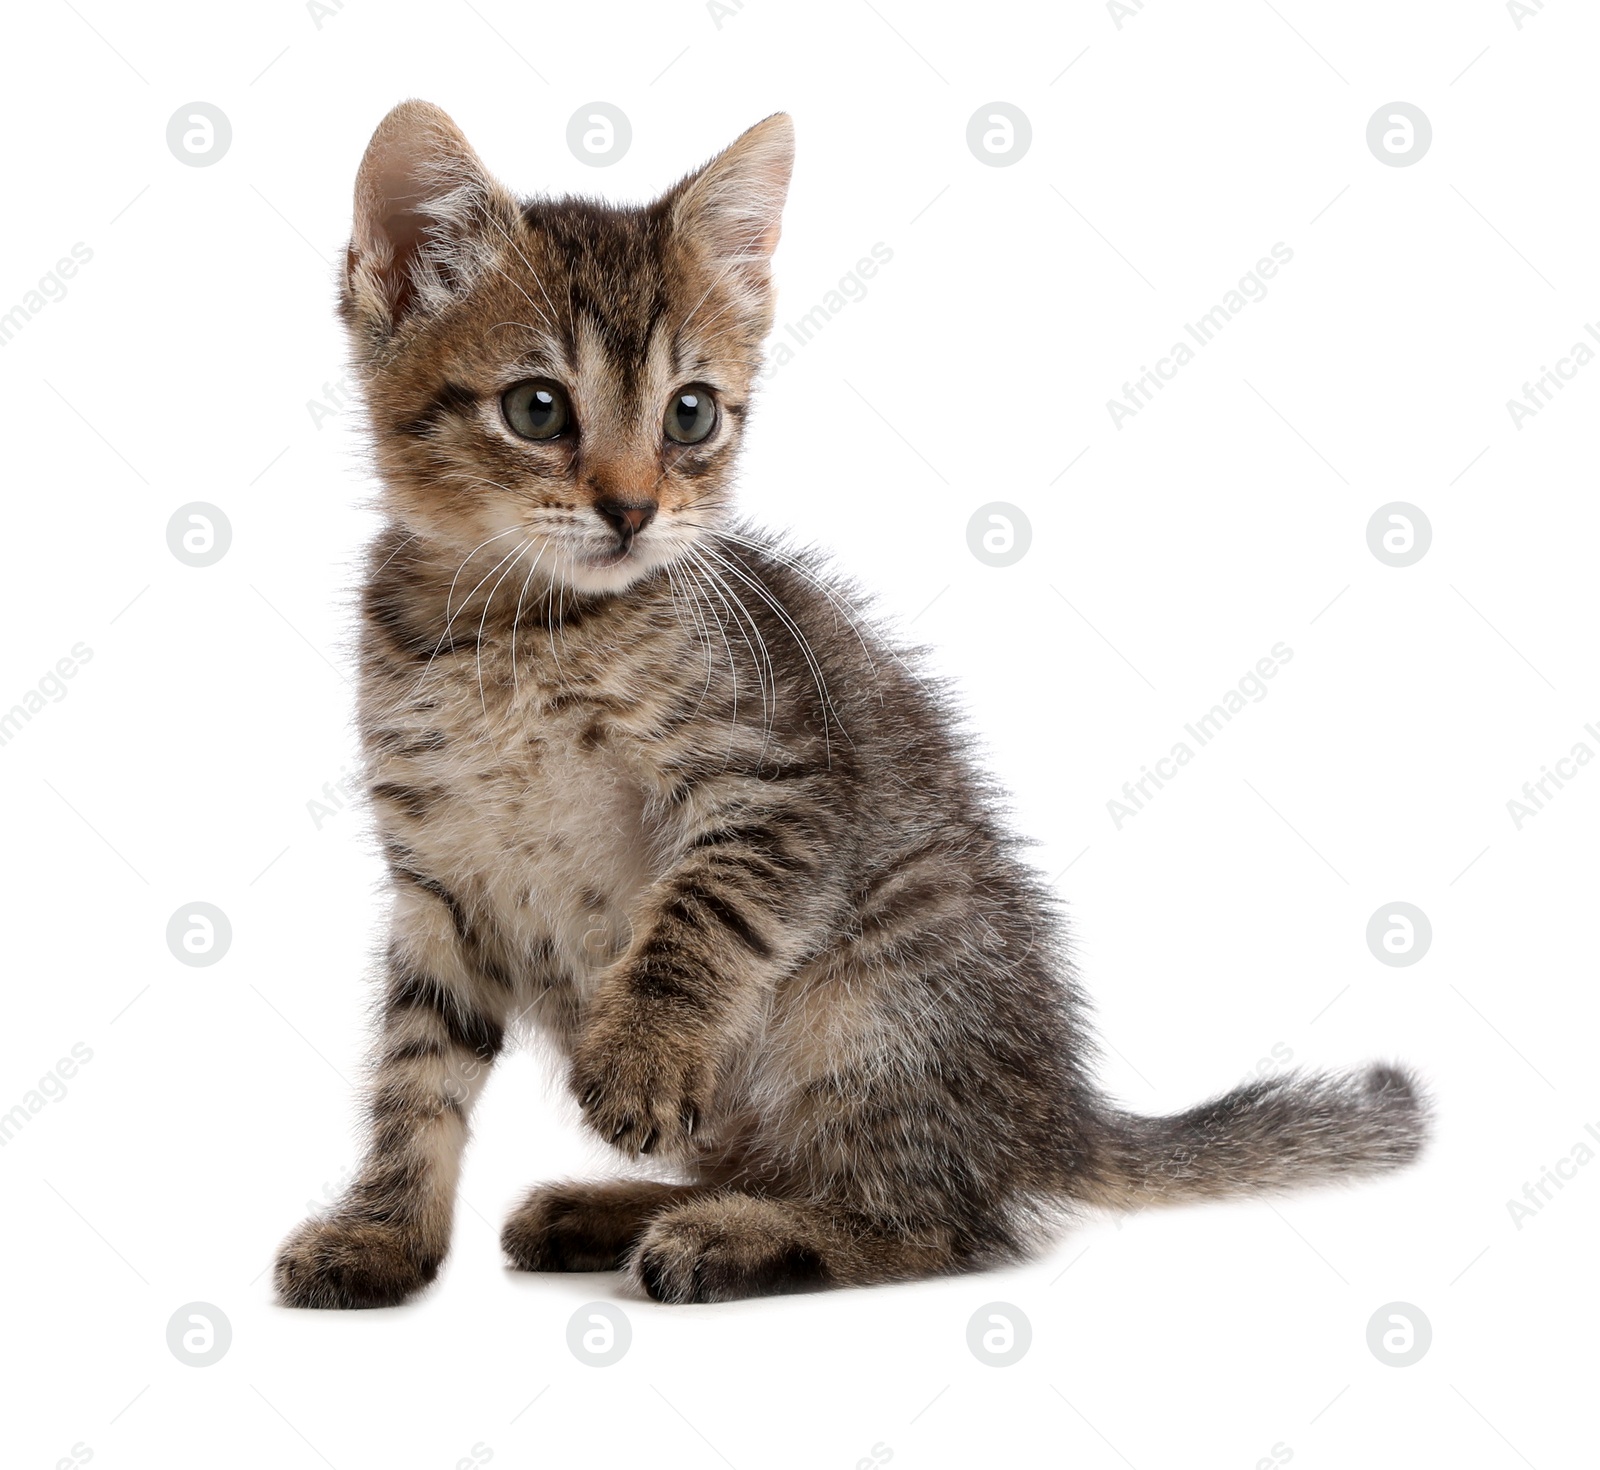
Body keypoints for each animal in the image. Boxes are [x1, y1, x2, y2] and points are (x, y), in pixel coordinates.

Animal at [272, 100, 1427, 1311]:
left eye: (691, 415)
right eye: (537, 408)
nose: (633, 510)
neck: (515, 634)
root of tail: (1050, 1118)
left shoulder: (779, 782)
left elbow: (696, 922)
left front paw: (640, 1057)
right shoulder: (440, 881)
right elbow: (415, 1075)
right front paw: (383, 1234)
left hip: (875, 994)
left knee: (934, 1221)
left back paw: (731, 1237)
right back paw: (617, 1210)